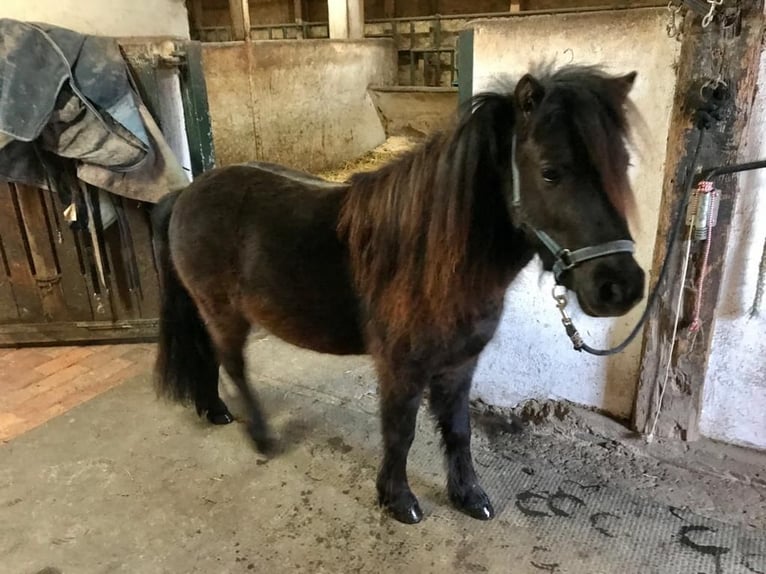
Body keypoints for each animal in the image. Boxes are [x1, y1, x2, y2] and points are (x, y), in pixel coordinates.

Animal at [153, 64, 644, 528]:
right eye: (550, 172)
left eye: (623, 166)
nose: (621, 287)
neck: (433, 258)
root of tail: (187, 193)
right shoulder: (401, 366)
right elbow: (400, 432)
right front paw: (398, 499)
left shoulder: (459, 364)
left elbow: (459, 430)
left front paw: (469, 496)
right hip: (223, 311)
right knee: (233, 364)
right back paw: (260, 436)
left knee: (209, 356)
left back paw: (214, 410)